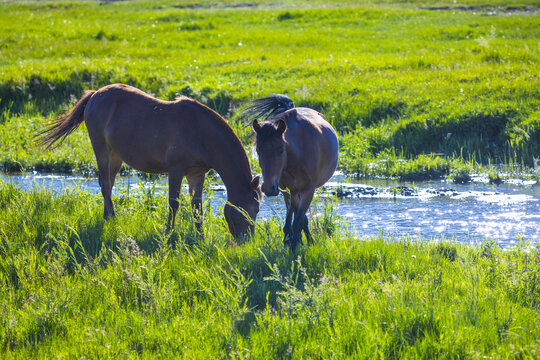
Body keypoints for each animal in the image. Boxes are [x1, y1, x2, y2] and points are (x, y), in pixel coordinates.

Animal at [38, 83, 262, 238]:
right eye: (252, 208)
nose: (245, 240)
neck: (201, 133)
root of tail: (95, 94)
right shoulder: (176, 169)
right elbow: (174, 203)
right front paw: (168, 233)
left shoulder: (197, 174)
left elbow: (196, 207)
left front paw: (201, 237)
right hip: (100, 148)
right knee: (105, 183)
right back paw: (112, 218)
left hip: (115, 155)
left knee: (107, 184)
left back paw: (107, 216)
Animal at [245, 95, 338, 253]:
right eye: (258, 150)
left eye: (281, 150)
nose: (269, 188)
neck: (299, 154)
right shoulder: (289, 190)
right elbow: (297, 218)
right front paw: (293, 242)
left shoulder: (308, 190)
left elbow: (298, 221)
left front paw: (295, 249)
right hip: (287, 191)